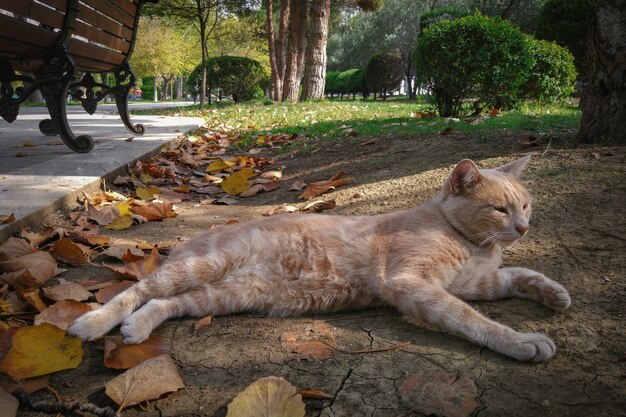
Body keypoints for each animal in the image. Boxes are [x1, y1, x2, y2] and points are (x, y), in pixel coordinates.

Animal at [69, 155, 572, 360]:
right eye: (500, 209)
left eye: (526, 206)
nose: (524, 227)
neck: (472, 244)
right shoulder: (413, 283)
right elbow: (472, 320)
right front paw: (522, 341)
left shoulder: (474, 283)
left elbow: (518, 274)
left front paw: (552, 292)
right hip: (202, 268)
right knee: (136, 291)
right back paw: (92, 323)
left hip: (220, 296)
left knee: (163, 304)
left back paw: (137, 328)